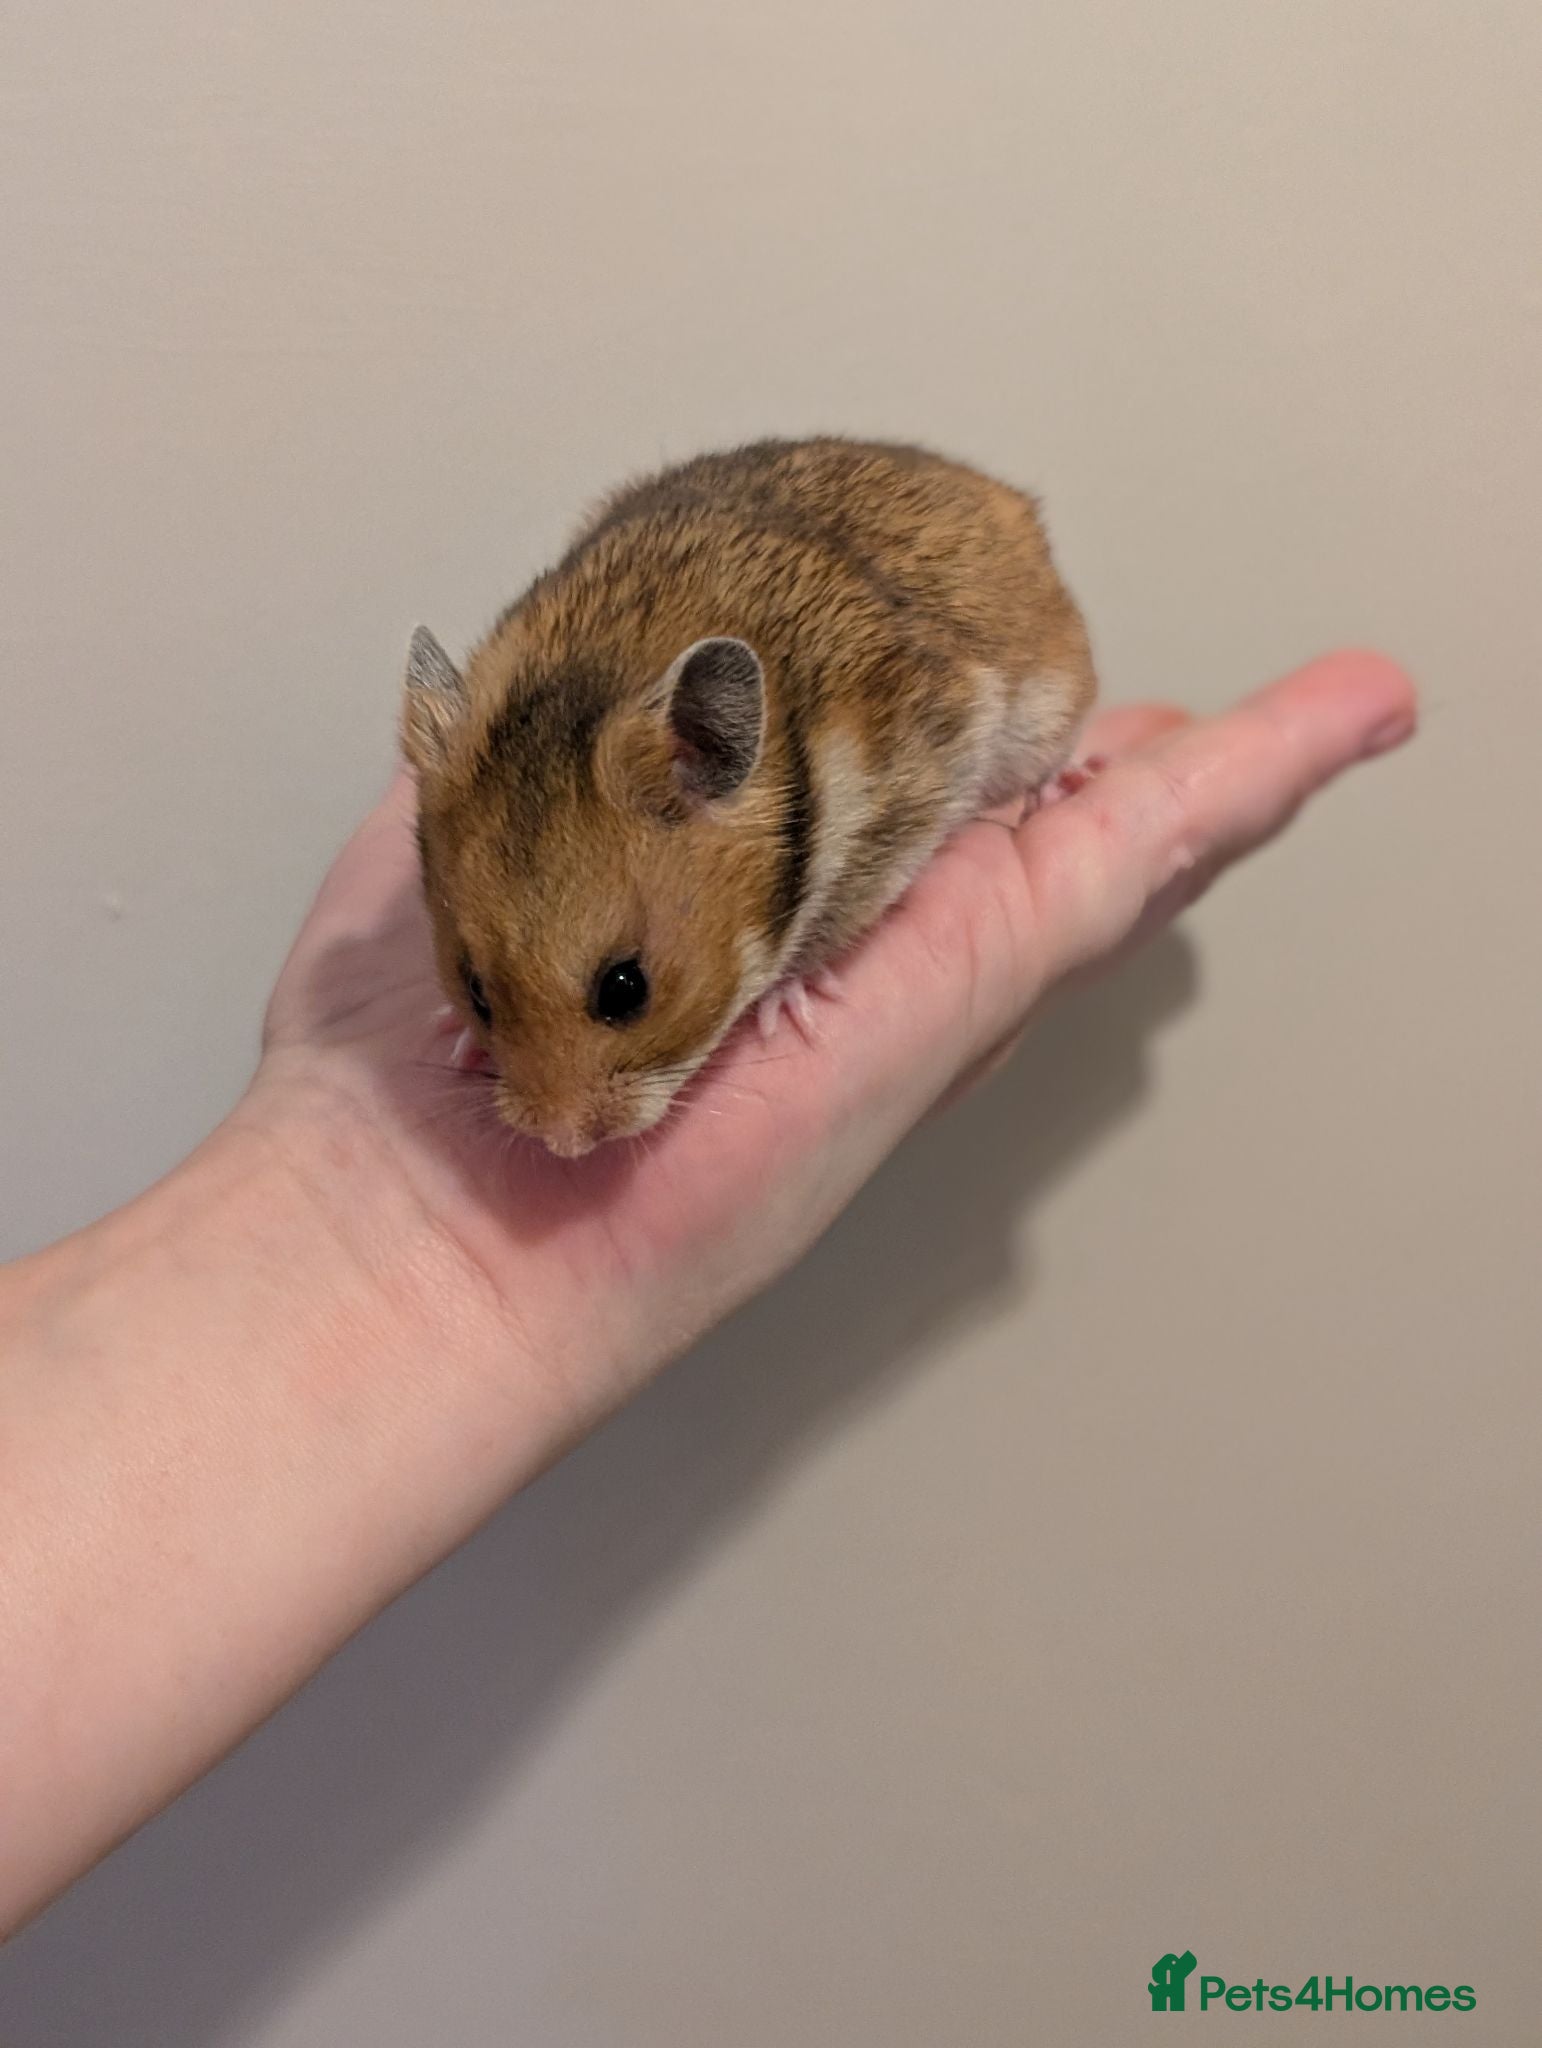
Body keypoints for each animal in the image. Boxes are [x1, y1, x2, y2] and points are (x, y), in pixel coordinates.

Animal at [403, 436, 1096, 1156]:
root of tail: (1005, 497)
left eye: (625, 988)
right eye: (476, 991)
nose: (561, 1145)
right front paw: (452, 1035)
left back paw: (1061, 785)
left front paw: (783, 1010)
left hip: (1047, 705)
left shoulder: (907, 797)